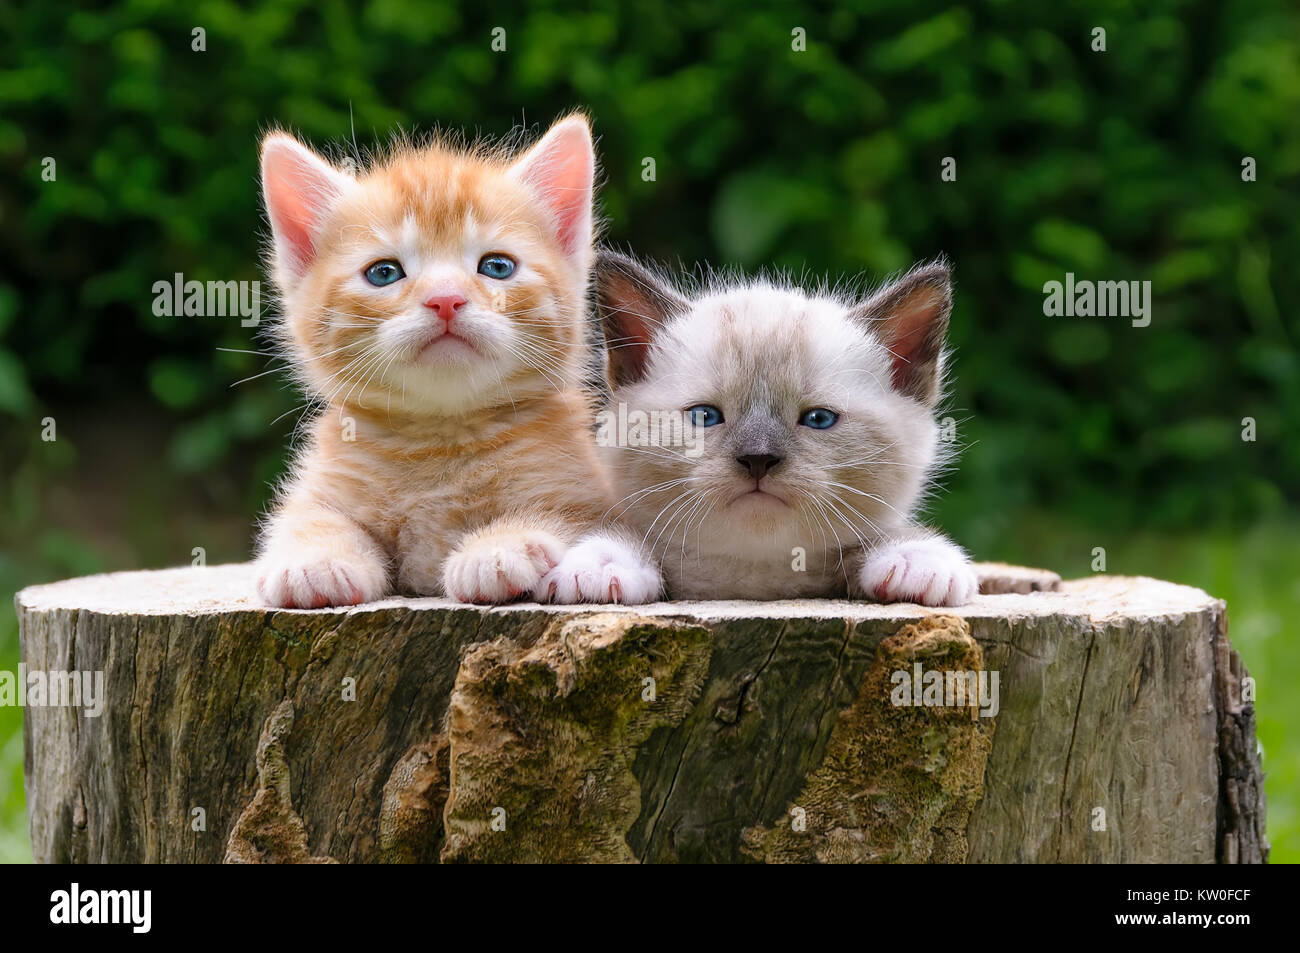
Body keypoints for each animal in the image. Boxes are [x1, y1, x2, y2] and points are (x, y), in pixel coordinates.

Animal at [252, 117, 639, 603]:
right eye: (383, 273)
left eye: (497, 267)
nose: (445, 299)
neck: (439, 440)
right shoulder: (321, 486)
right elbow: (310, 518)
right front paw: (316, 561)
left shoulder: (586, 492)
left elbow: (561, 516)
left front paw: (498, 548)